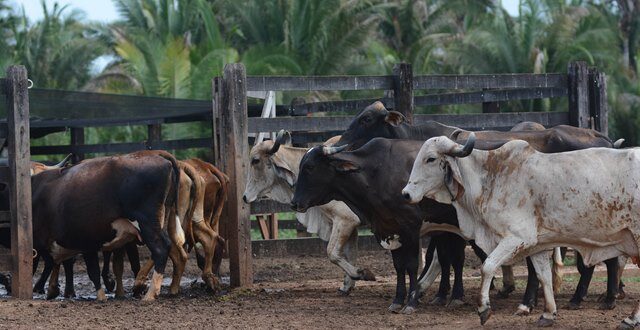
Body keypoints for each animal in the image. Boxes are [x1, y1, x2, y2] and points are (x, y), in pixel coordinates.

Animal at [31, 151, 179, 300]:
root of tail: (161, 158)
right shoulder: (84, 243)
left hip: (147, 223)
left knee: (160, 249)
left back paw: (149, 293)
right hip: (160, 221)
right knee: (170, 247)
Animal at [244, 131, 376, 294]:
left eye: (255, 160)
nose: (244, 196)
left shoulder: (346, 220)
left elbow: (332, 253)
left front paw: (361, 273)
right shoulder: (349, 226)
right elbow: (349, 254)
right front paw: (347, 285)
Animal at [402, 133, 640, 328]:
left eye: (430, 159)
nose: (405, 193)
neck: (491, 177)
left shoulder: (516, 238)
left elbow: (488, 266)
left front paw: (484, 308)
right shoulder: (538, 244)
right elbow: (543, 276)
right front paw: (548, 314)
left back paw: (630, 318)